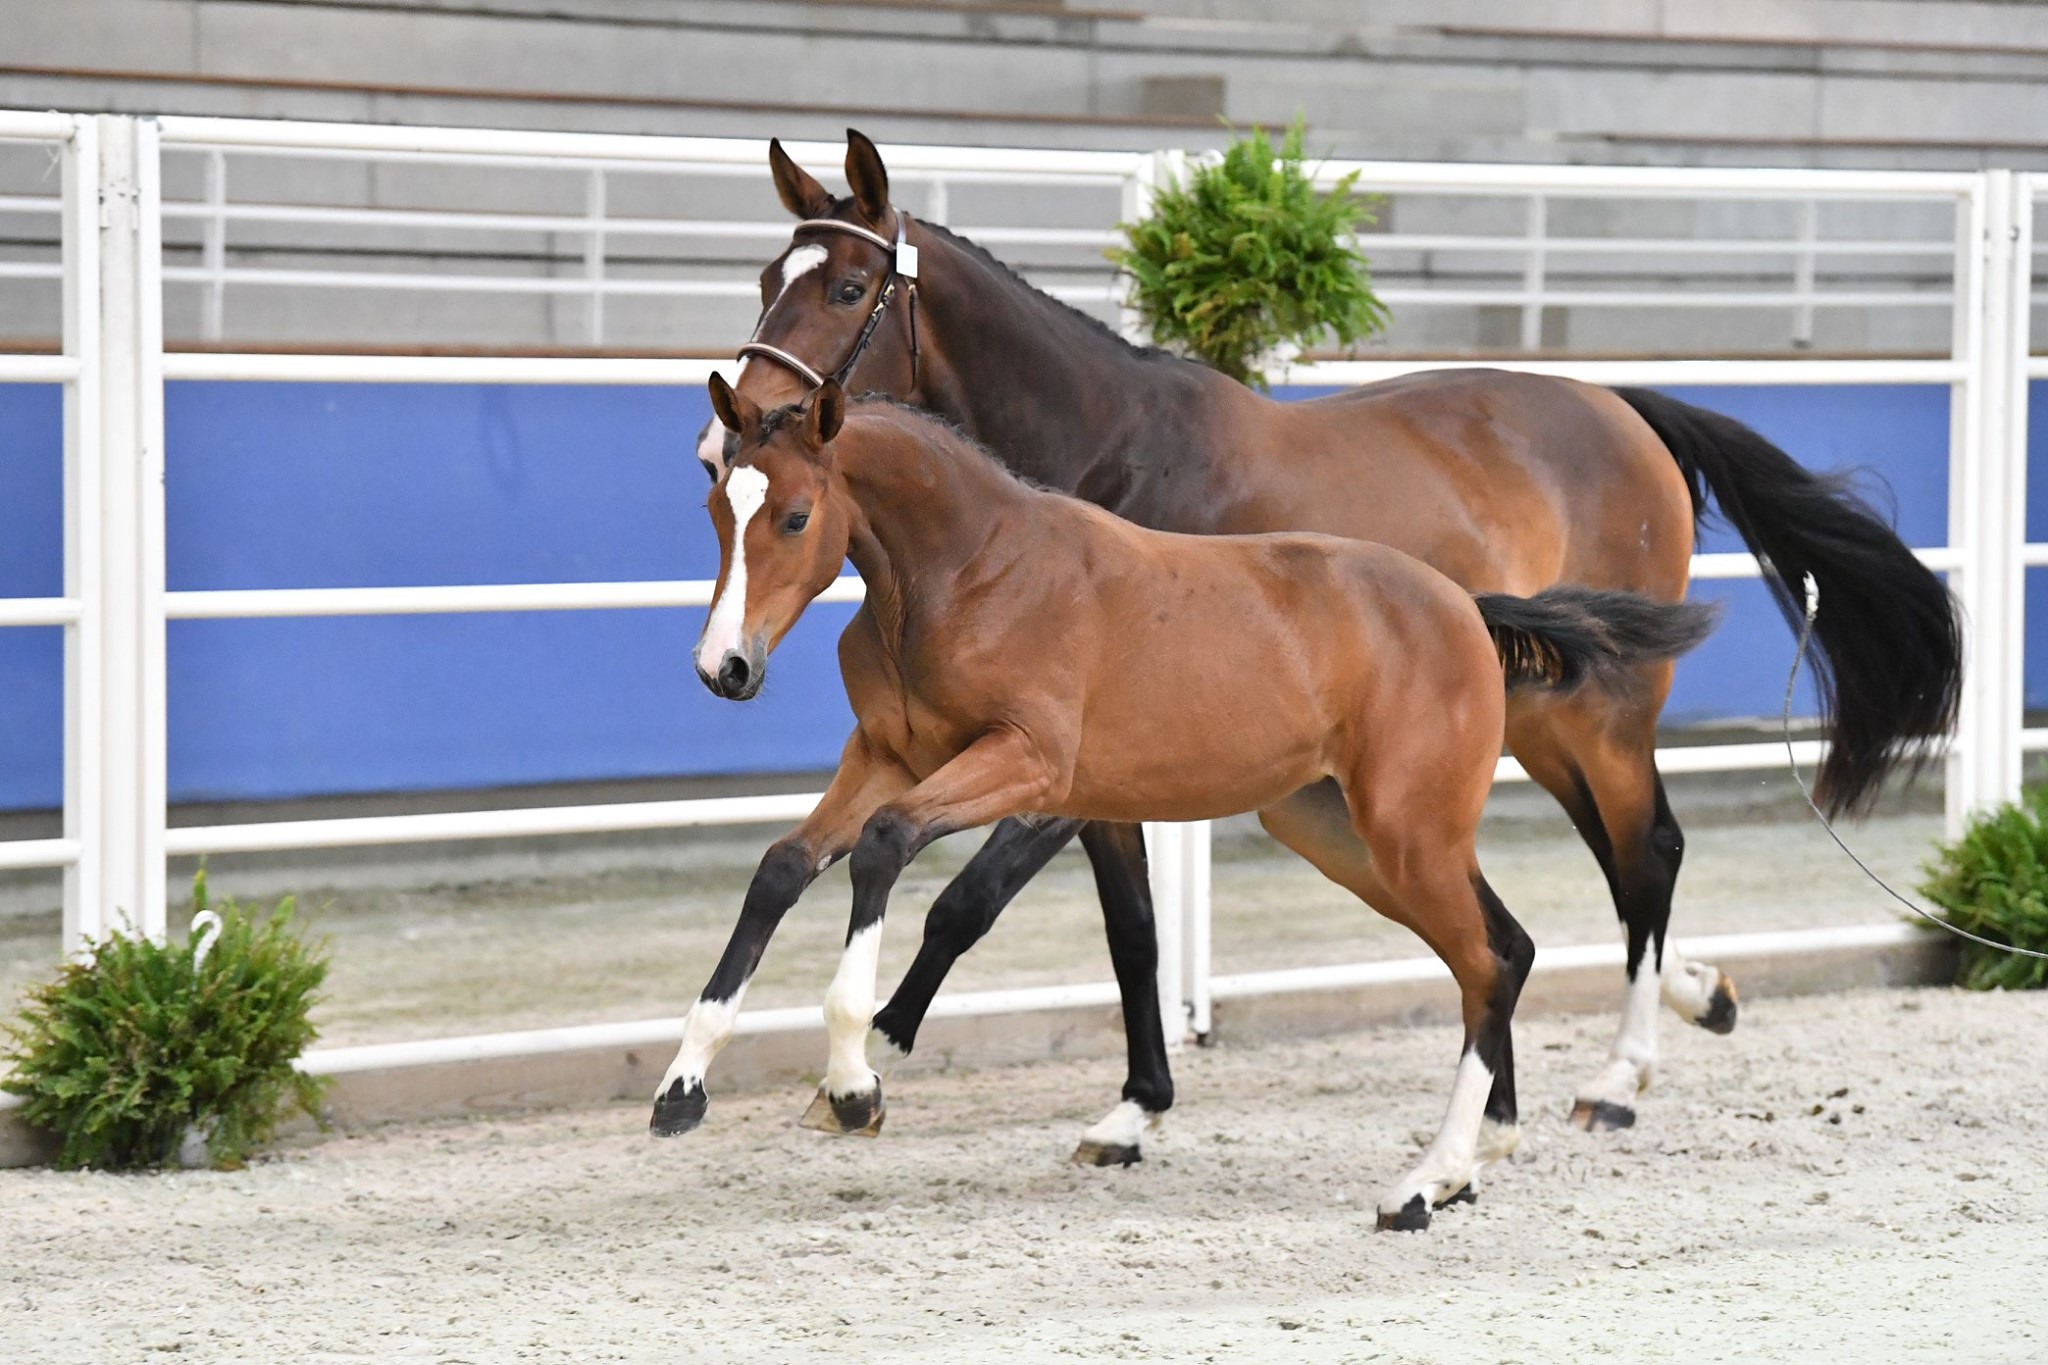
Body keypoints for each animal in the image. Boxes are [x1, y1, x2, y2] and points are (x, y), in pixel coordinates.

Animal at [655, 377, 1716, 1228]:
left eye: (796, 516)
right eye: (716, 508)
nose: (725, 667)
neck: (967, 573)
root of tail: (1470, 608)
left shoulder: (1027, 765)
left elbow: (887, 849)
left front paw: (854, 1081)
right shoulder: (883, 754)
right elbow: (784, 866)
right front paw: (683, 1085)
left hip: (1411, 831)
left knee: (1500, 953)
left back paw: (1426, 1181)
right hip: (1344, 832)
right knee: (1504, 949)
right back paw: (1476, 1162)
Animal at [697, 131, 1962, 1162]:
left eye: (847, 286)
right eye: (764, 279)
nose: (727, 435)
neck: (1101, 464)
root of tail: (1623, 408)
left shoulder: (1067, 761)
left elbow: (968, 902)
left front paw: (877, 1047)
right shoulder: (1110, 771)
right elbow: (1130, 930)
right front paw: (1133, 1108)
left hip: (1601, 714)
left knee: (1645, 850)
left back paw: (1615, 1079)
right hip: (1532, 724)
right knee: (1607, 867)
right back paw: (1676, 1006)